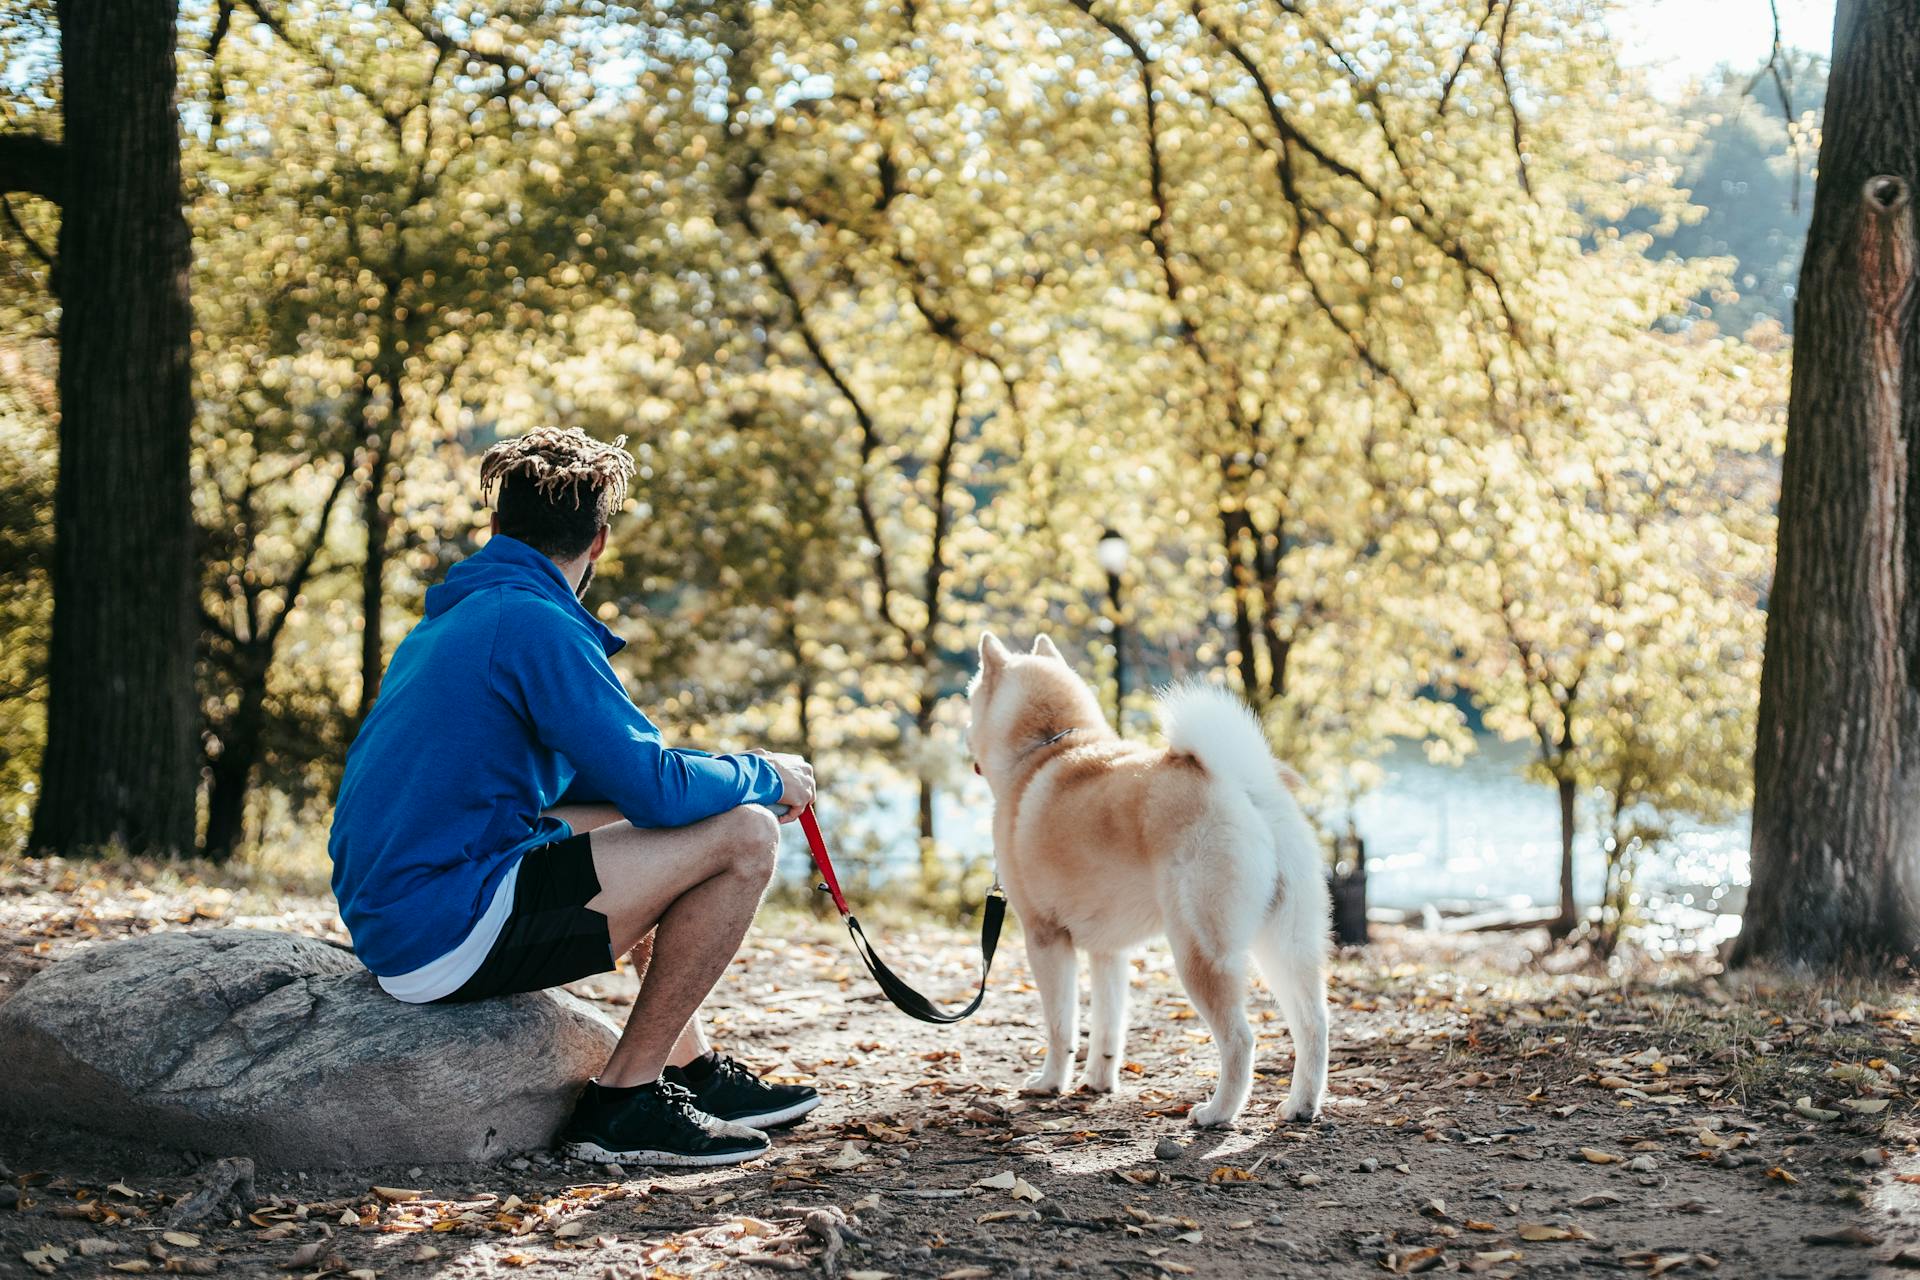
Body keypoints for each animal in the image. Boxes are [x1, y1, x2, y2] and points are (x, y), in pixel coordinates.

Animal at [967, 637, 1328, 1128]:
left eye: (969, 699)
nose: (964, 732)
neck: (1045, 748)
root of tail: (1242, 785)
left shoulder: (1044, 938)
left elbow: (1061, 1027)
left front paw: (1049, 1084)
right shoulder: (1108, 951)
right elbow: (1107, 1027)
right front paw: (1098, 1082)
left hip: (1200, 953)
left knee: (1240, 1039)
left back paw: (1217, 1112)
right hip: (1286, 946)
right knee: (1313, 1025)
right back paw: (1300, 1106)